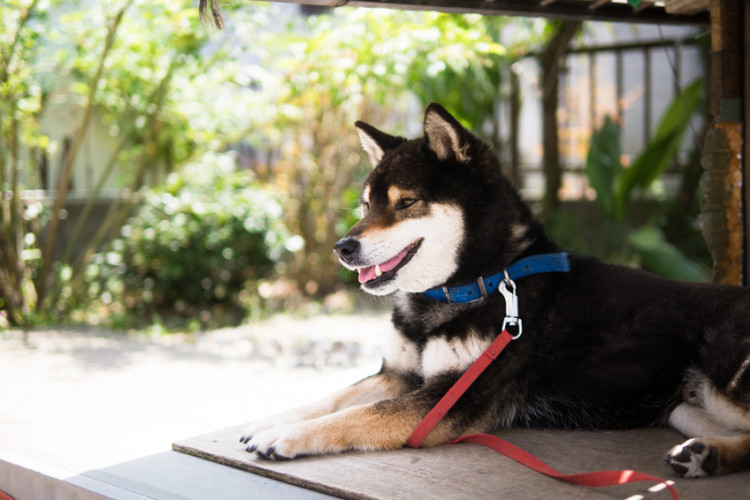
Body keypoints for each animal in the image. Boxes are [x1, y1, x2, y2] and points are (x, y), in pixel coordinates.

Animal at [242, 103, 750, 478]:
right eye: (366, 206)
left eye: (406, 202)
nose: (343, 247)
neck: (472, 284)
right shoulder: (399, 375)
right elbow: (332, 399)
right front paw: (269, 420)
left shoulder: (455, 395)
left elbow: (358, 415)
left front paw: (282, 436)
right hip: (684, 406)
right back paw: (707, 454)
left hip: (722, 381)